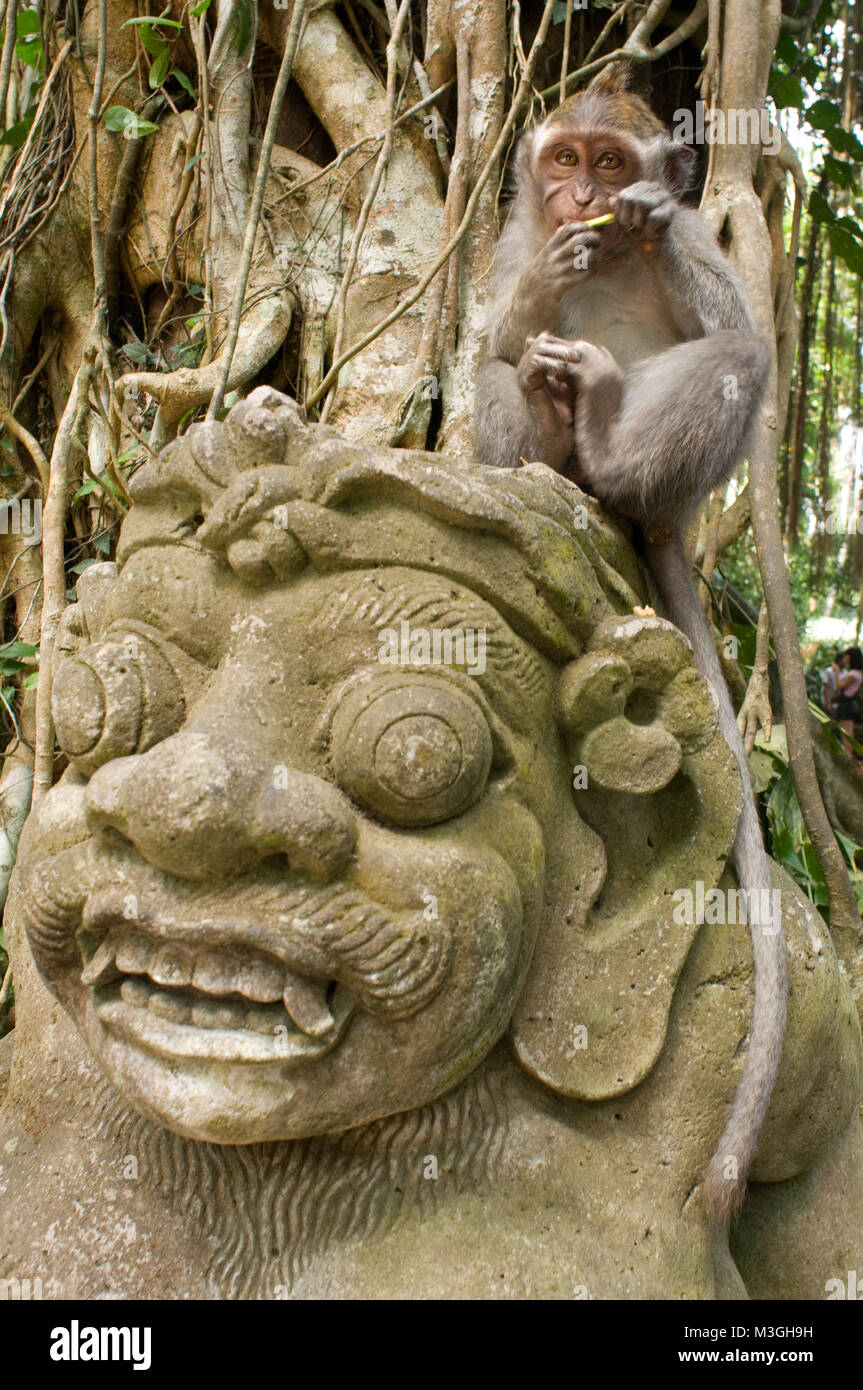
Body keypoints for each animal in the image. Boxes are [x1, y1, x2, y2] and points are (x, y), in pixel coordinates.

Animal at [475, 65, 783, 1223]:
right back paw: (550, 445)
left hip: (674, 485)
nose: (581, 198)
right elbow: (491, 335)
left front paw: (646, 228)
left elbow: (733, 315)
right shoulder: (508, 243)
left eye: (611, 164)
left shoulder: (697, 231)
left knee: (733, 355)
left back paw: (603, 437)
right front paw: (533, 302)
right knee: (504, 374)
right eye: (562, 159)